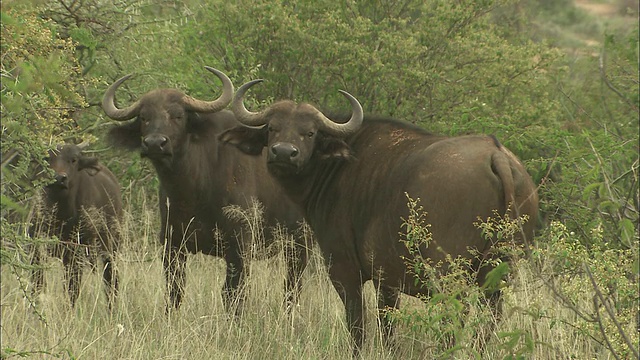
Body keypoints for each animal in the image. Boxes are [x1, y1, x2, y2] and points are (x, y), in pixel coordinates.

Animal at [31, 143, 124, 310]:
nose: (59, 178)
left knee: (111, 281)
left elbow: (72, 290)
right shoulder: (36, 251)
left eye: (73, 159)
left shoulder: (75, 255)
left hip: (111, 249)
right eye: (47, 158)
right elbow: (37, 284)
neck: (61, 215)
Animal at [102, 67, 310, 312]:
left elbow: (233, 293)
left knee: (292, 287)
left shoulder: (239, 246)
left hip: (300, 243)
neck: (192, 191)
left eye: (178, 116)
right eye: (144, 117)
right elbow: (174, 292)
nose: (154, 143)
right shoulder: (172, 245)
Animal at [221, 79, 540, 354]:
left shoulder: (344, 270)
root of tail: (495, 154)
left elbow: (358, 324)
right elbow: (387, 327)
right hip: (498, 275)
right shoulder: (387, 280)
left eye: (309, 132)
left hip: (447, 275)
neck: (339, 164)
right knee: (489, 320)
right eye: (272, 128)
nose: (284, 153)